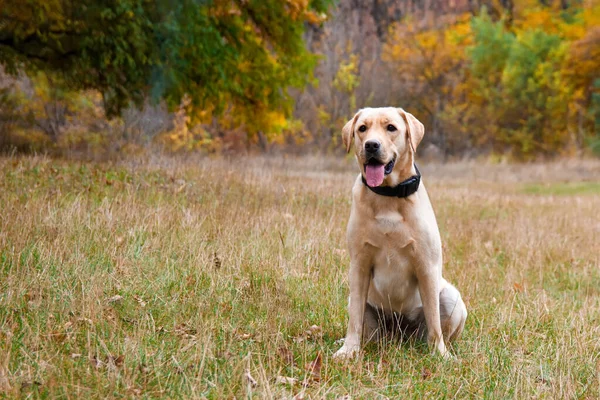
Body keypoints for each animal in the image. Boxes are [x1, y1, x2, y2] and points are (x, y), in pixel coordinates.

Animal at [336, 107, 466, 360]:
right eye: (362, 129)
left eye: (391, 128)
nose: (371, 145)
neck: (388, 195)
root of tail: (399, 335)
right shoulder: (359, 264)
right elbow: (354, 318)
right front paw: (349, 349)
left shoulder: (426, 265)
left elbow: (434, 320)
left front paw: (440, 354)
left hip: (452, 297)